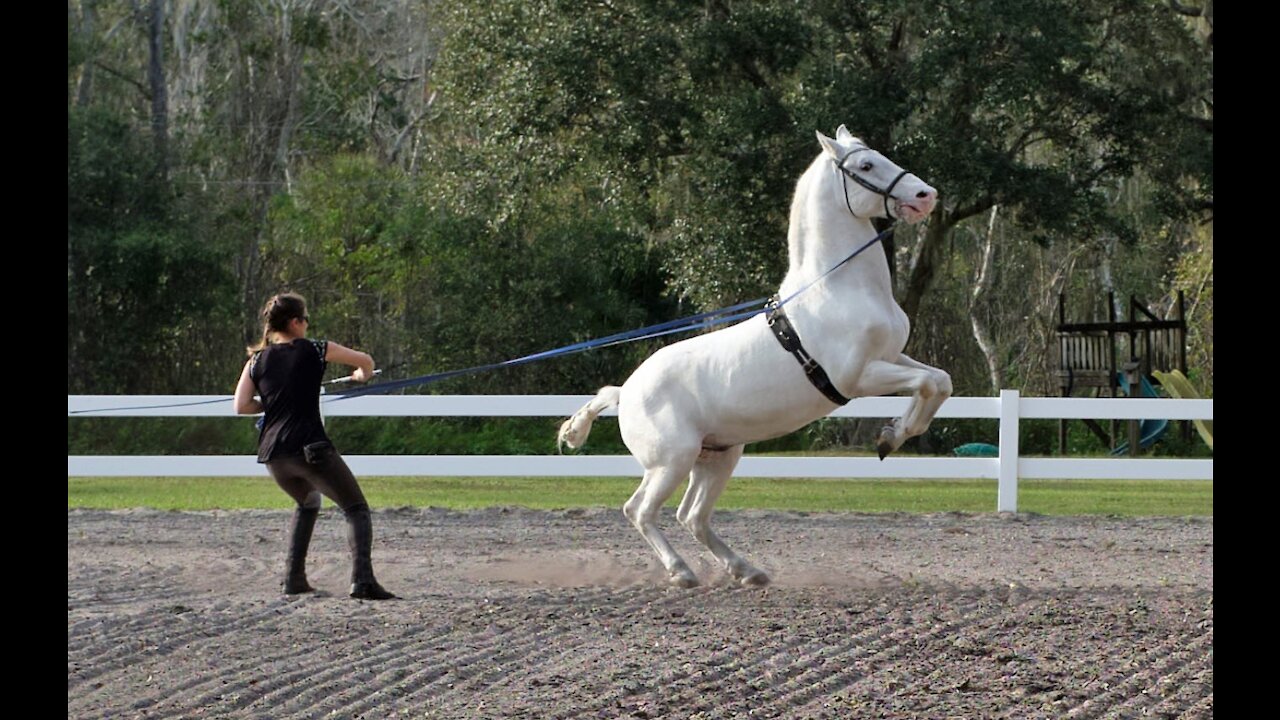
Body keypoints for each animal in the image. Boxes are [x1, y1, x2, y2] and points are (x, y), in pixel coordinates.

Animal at [560, 124, 952, 584]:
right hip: (671, 462)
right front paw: (890, 437)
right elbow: (927, 382)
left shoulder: (893, 358)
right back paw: (682, 572)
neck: (837, 288)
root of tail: (625, 392)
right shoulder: (858, 377)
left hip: (717, 457)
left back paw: (747, 570)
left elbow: (938, 382)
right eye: (867, 165)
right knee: (640, 511)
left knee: (692, 516)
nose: (926, 195)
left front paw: (893, 435)